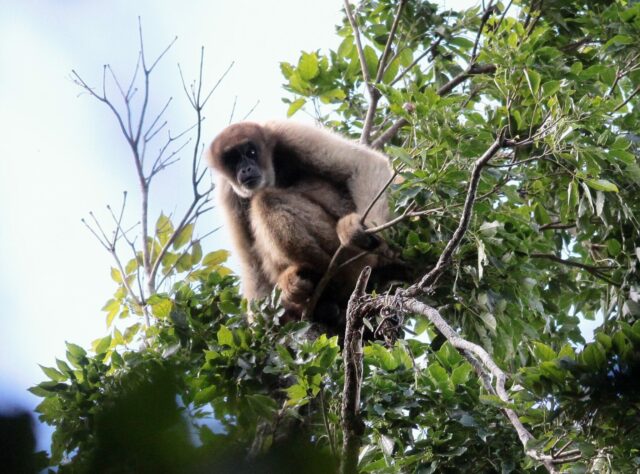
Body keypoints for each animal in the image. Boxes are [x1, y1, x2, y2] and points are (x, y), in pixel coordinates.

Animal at [208, 120, 392, 324]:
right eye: (233, 160)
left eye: (251, 153)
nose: (246, 169)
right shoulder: (228, 192)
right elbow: (251, 261)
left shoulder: (286, 132)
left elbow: (363, 164)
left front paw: (369, 232)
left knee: (267, 200)